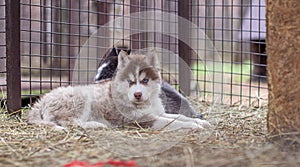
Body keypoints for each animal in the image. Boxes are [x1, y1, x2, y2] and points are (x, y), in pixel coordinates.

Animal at [28, 51, 211, 130]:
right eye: (129, 81)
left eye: (145, 80)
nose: (137, 95)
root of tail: (42, 100)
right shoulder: (143, 120)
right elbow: (174, 122)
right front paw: (194, 126)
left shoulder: (158, 112)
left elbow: (179, 116)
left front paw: (200, 122)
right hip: (80, 100)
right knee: (69, 122)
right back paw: (96, 125)